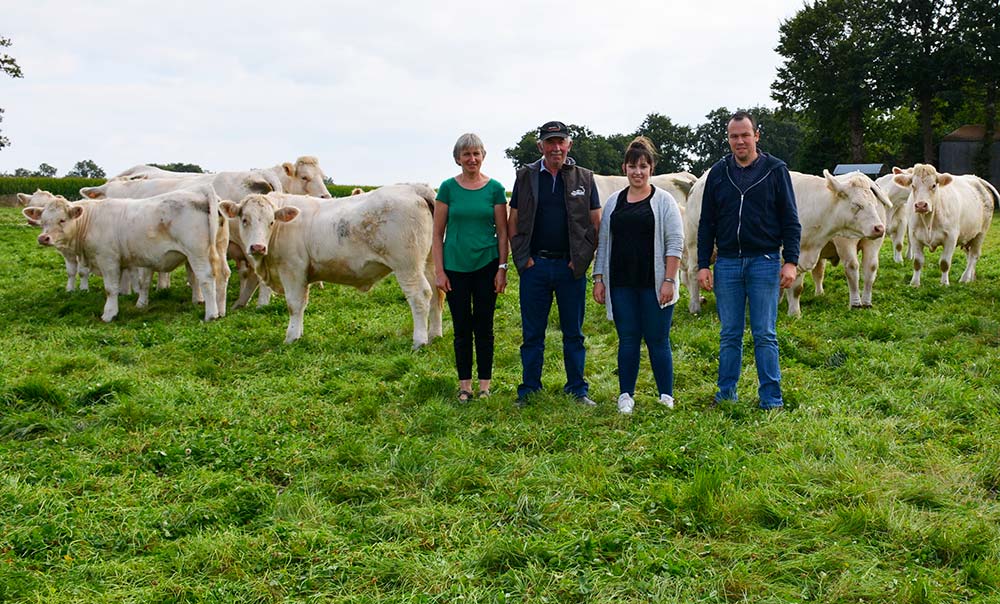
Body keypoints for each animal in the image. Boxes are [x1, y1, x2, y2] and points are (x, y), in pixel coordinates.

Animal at [22, 186, 229, 324]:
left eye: (62, 220)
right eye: (43, 220)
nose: (43, 238)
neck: (91, 220)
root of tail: (200, 192)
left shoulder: (108, 260)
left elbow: (110, 289)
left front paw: (109, 314)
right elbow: (133, 284)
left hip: (197, 253)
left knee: (206, 278)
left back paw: (211, 314)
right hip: (219, 249)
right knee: (223, 275)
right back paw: (221, 311)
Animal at [223, 186, 446, 350]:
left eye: (271, 221)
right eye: (245, 220)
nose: (257, 247)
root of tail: (414, 187)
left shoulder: (292, 269)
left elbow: (294, 304)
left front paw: (291, 337)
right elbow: (302, 304)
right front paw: (299, 334)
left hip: (407, 266)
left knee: (420, 296)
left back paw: (419, 341)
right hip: (430, 262)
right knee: (436, 295)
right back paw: (434, 334)